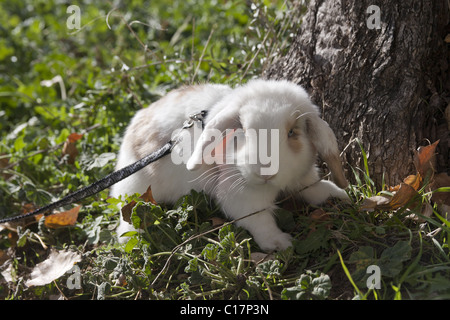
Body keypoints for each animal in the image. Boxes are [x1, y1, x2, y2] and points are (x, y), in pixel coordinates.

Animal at [110, 79, 350, 251]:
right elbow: (259, 220)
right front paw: (280, 244)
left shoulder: (303, 178)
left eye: (292, 132)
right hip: (136, 189)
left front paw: (341, 195)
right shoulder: (241, 197)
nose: (265, 172)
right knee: (128, 214)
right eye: (243, 129)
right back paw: (131, 239)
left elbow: (316, 189)